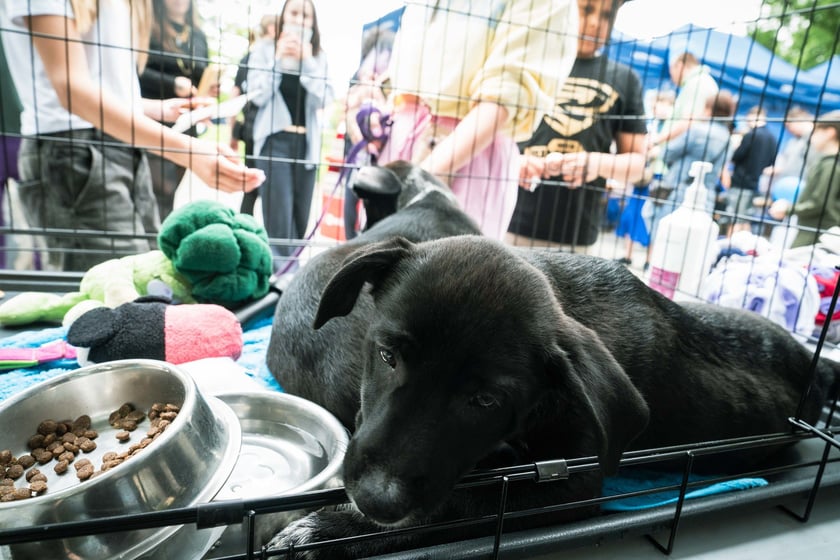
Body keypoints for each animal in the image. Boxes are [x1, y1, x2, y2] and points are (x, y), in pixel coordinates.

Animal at [268, 232, 840, 559]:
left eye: (485, 401)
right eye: (387, 356)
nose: (375, 499)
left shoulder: (570, 487)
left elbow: (464, 502)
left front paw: (331, 529)